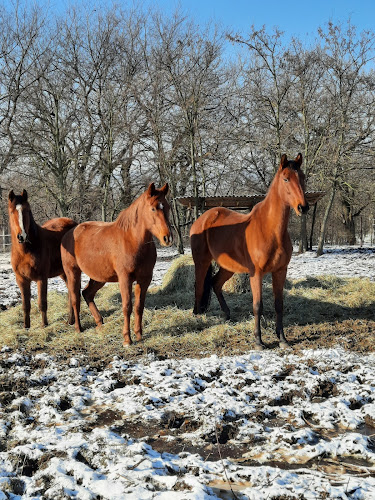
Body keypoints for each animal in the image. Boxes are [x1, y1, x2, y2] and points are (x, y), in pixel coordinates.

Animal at [8, 188, 78, 328]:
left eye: (27, 210)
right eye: (12, 211)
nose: (22, 236)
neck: (26, 251)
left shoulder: (41, 278)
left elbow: (42, 303)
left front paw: (44, 325)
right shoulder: (21, 280)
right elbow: (25, 306)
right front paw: (26, 327)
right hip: (63, 272)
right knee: (70, 292)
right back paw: (70, 320)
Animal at [61, 182, 173, 346]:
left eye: (168, 207)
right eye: (153, 208)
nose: (167, 238)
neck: (132, 240)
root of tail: (69, 233)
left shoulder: (145, 279)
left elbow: (139, 307)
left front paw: (139, 335)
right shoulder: (125, 278)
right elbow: (127, 307)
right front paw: (127, 339)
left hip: (99, 277)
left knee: (87, 294)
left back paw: (100, 323)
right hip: (73, 273)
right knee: (75, 298)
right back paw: (78, 328)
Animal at [189, 154, 310, 350]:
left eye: (303, 177)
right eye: (286, 178)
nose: (303, 207)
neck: (269, 229)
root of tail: (203, 219)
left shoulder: (280, 271)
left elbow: (279, 304)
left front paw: (282, 339)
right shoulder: (257, 273)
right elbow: (257, 306)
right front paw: (258, 341)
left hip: (228, 267)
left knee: (215, 284)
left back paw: (227, 314)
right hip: (202, 262)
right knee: (199, 286)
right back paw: (197, 315)